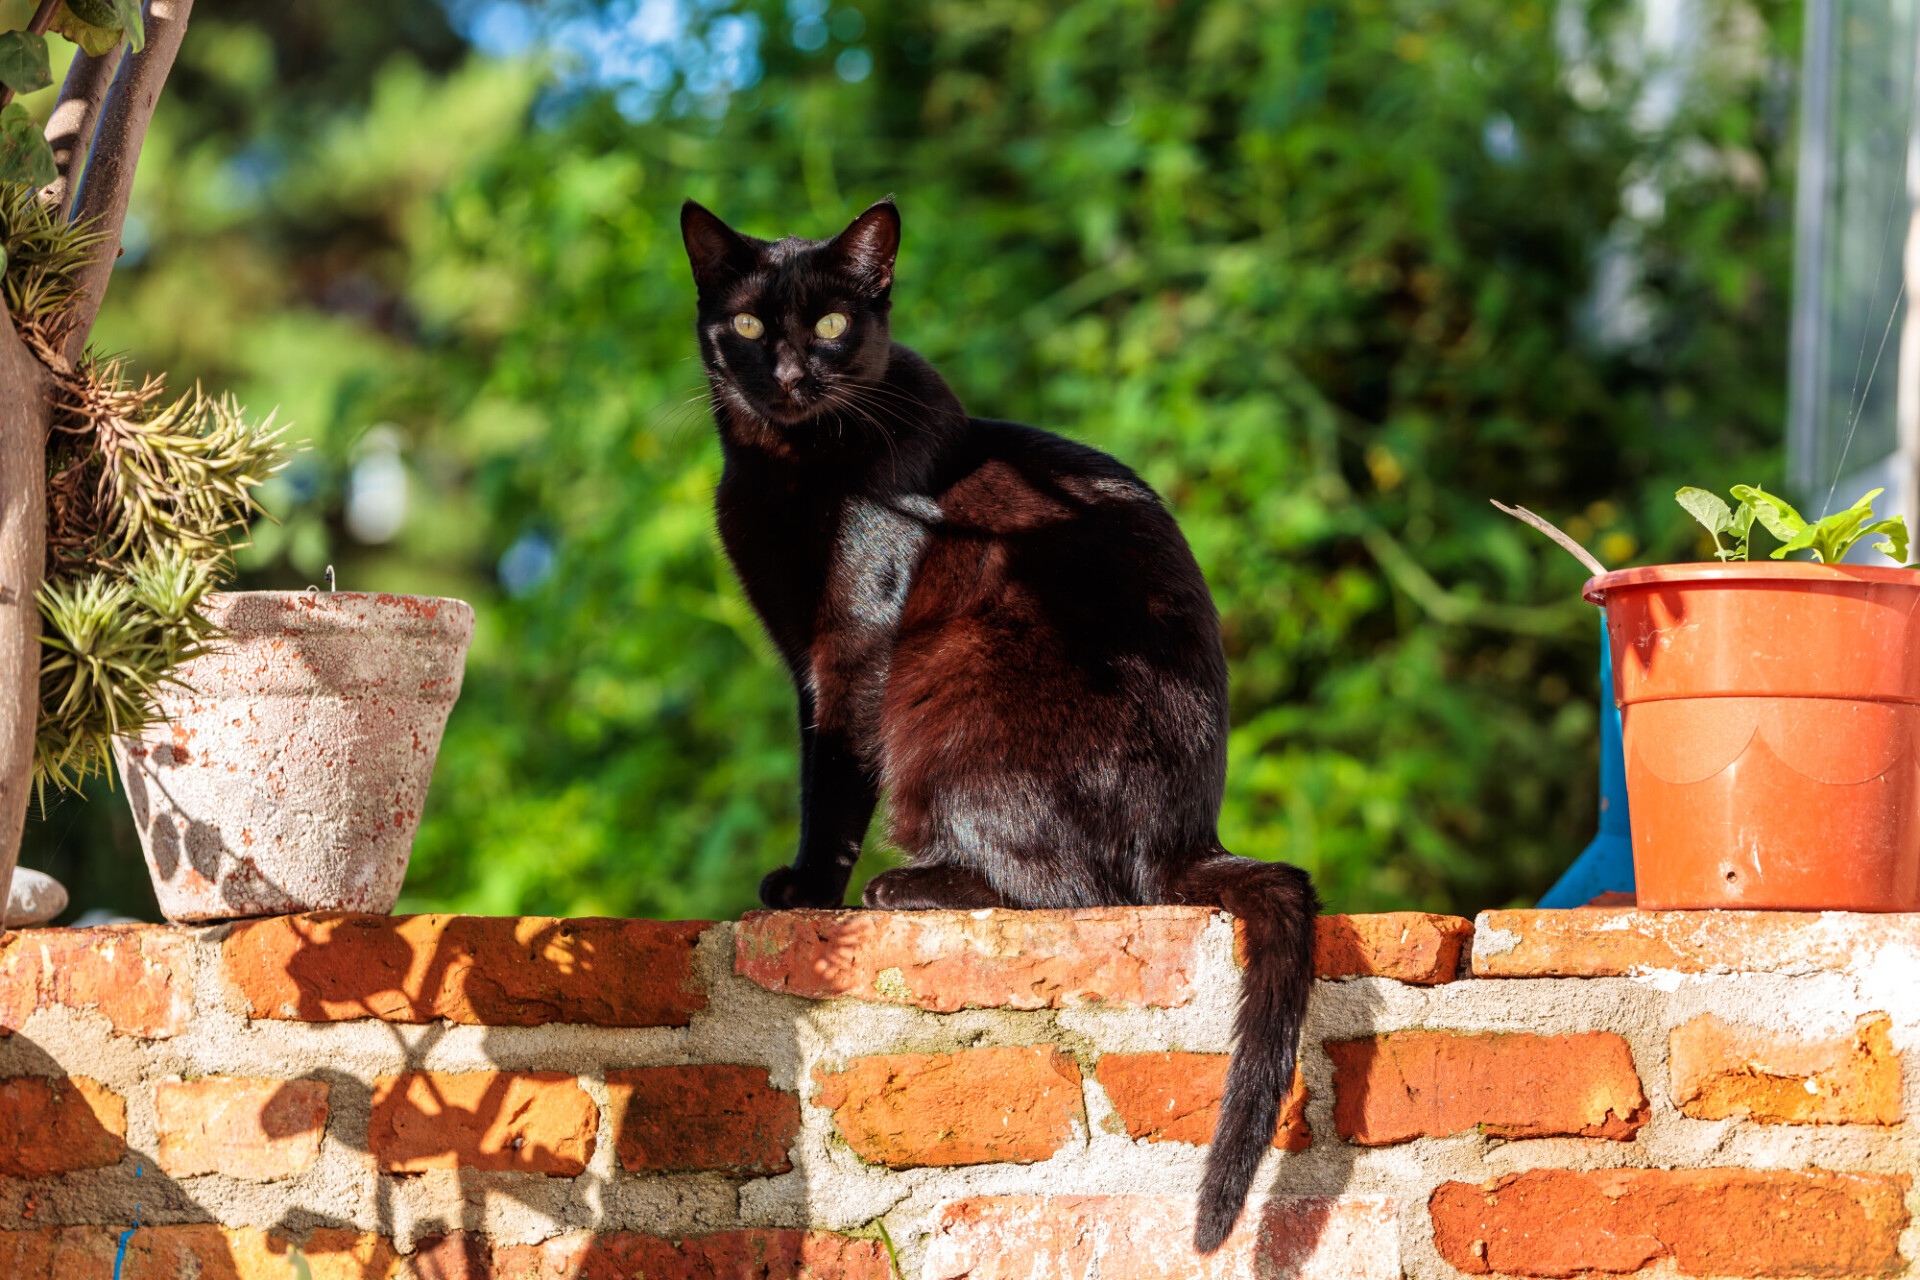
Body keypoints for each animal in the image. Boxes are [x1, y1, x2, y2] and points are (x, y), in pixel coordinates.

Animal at [679, 197, 1320, 1251]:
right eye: (746, 325)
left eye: (830, 324)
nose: (791, 375)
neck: (789, 473)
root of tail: (1191, 837)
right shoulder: (800, 657)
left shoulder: (850, 651)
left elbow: (833, 782)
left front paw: (810, 896)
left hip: (957, 705)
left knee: (1075, 892)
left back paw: (906, 888)